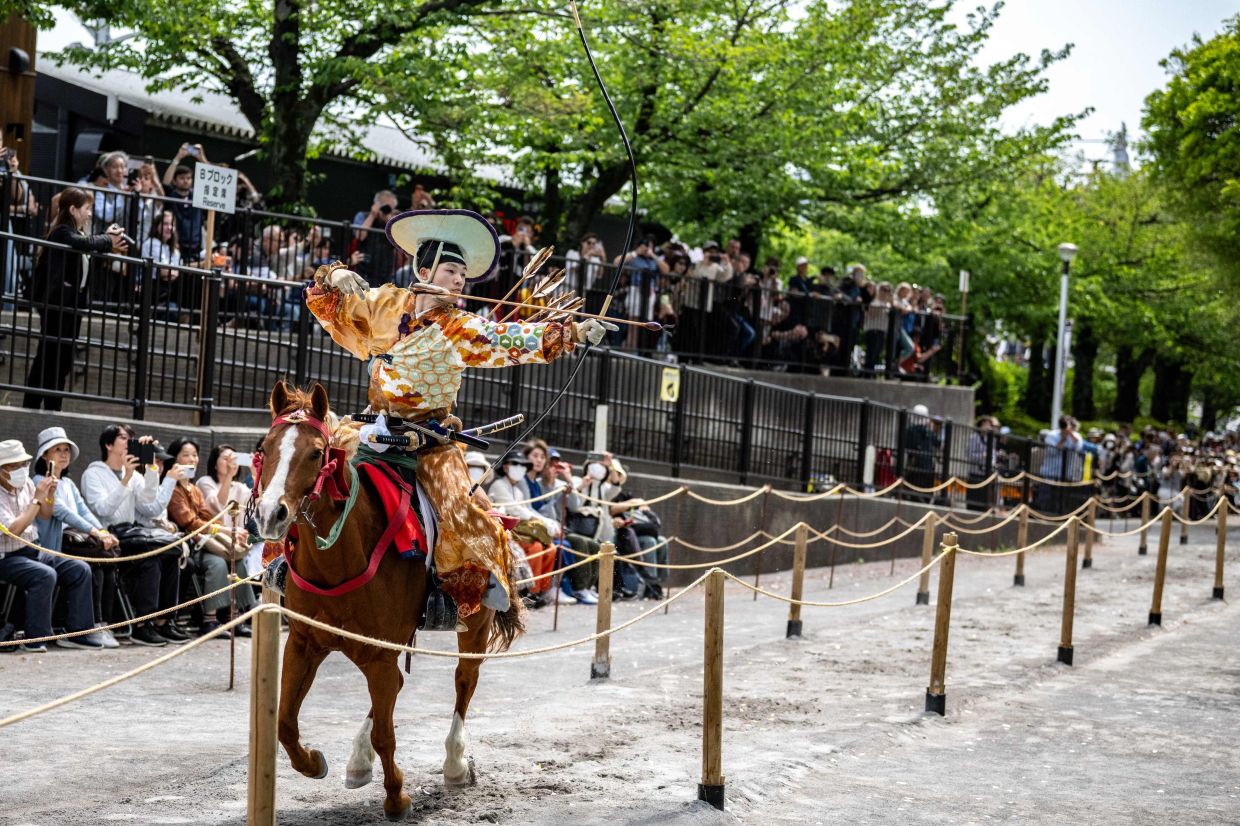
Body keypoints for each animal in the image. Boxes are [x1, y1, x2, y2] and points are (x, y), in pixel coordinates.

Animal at [253, 380, 523, 821]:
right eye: (264, 447)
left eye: (316, 452)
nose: (269, 513)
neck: (340, 555)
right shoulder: (305, 642)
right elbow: (286, 724)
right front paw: (314, 762)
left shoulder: (378, 653)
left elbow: (386, 735)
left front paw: (397, 797)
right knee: (397, 686)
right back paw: (357, 763)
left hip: (476, 619)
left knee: (464, 680)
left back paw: (454, 764)